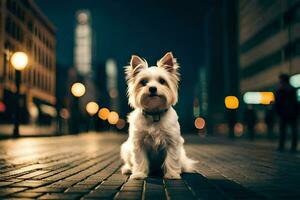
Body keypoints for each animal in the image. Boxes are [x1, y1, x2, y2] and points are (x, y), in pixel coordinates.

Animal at [119, 52, 197, 180]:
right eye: (143, 82)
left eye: (162, 81)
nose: (152, 88)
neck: (154, 114)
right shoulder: (138, 143)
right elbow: (139, 160)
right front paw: (139, 174)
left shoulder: (172, 142)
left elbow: (171, 159)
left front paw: (172, 174)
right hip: (126, 148)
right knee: (129, 163)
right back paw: (128, 169)